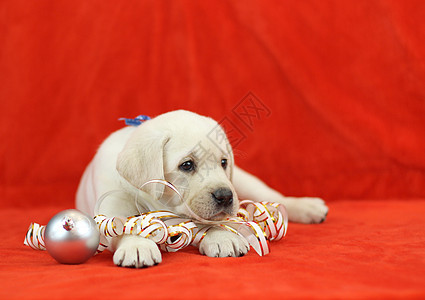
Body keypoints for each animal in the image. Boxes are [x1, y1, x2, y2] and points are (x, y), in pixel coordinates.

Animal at [76, 109, 328, 268]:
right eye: (187, 165)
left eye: (224, 162)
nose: (225, 197)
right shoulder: (110, 206)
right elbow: (125, 226)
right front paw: (137, 245)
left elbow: (213, 222)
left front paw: (222, 236)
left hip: (243, 182)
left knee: (274, 197)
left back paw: (307, 206)